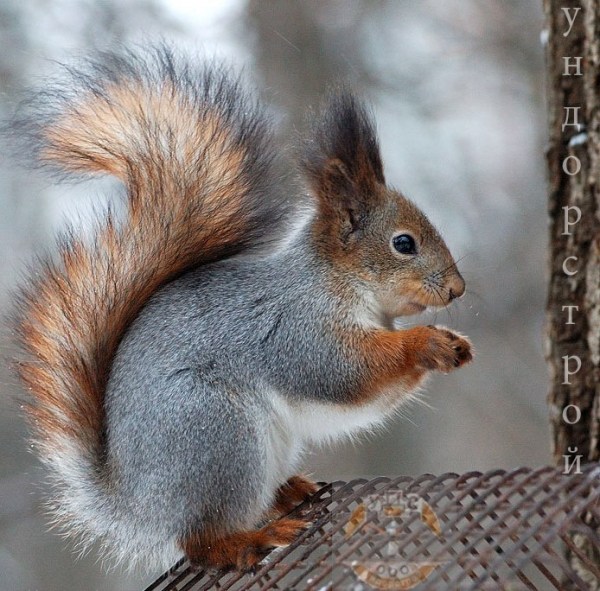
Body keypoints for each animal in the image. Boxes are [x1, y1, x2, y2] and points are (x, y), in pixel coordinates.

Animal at [14, 46, 472, 572]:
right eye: (404, 243)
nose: (458, 289)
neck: (338, 284)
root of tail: (136, 504)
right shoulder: (297, 330)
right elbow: (346, 373)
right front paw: (427, 342)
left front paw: (453, 343)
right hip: (219, 434)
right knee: (200, 542)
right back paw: (253, 538)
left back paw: (289, 493)